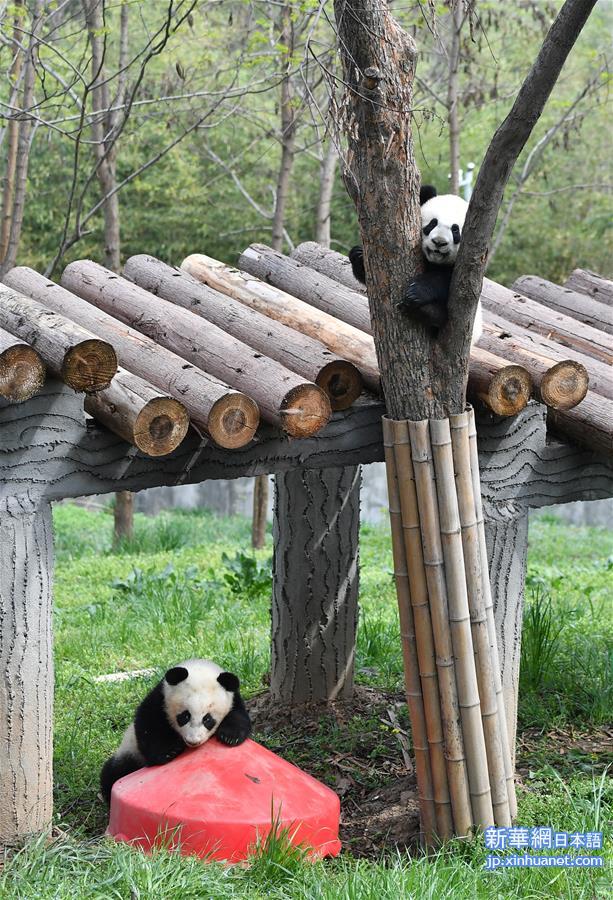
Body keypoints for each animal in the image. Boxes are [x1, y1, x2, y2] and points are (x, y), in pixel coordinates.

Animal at [100, 656, 251, 804]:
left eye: (207, 719)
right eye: (185, 716)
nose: (193, 741)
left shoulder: (234, 698)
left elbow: (239, 716)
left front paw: (230, 737)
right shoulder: (160, 699)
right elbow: (149, 724)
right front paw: (168, 752)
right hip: (130, 751)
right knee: (114, 771)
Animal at [346, 185, 480, 340]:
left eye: (455, 230)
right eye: (432, 223)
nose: (439, 242)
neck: (434, 262)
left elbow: (448, 281)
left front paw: (416, 292)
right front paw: (358, 255)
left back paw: (427, 311)